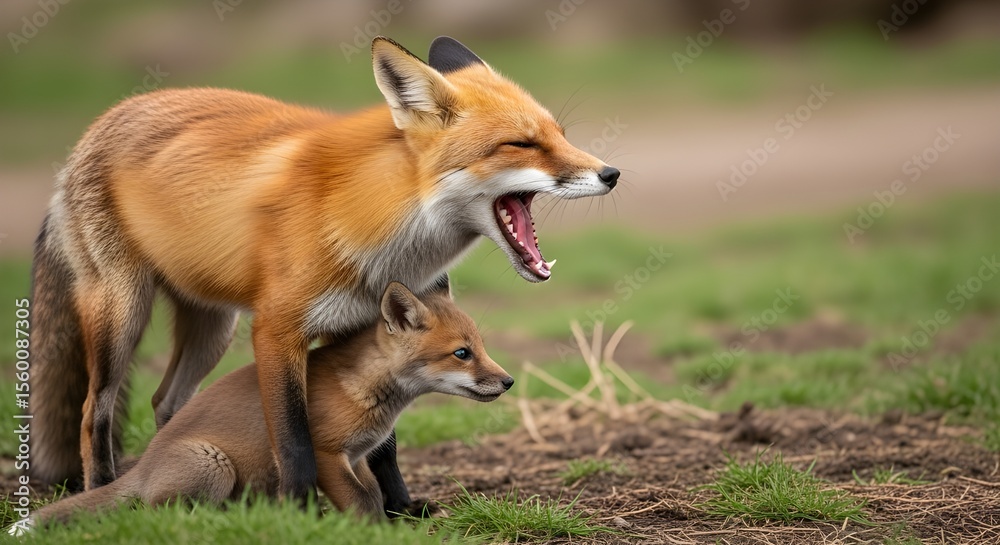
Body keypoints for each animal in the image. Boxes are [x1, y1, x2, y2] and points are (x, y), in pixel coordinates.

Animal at [23, 281, 513, 528]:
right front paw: (372, 533)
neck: (367, 390)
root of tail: (142, 465)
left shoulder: (357, 456)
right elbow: (361, 501)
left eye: (481, 348)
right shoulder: (327, 453)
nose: (508, 381)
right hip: (213, 465)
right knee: (157, 513)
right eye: (462, 353)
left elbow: (374, 492)